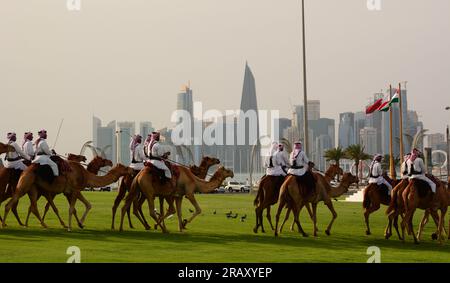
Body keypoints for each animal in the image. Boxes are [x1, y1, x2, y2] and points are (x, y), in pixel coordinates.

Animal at [3, 161, 132, 232]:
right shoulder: (75, 190)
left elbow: (87, 205)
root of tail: (25, 170)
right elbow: (71, 209)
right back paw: (5, 224)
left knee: (32, 207)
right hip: (25, 184)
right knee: (11, 202)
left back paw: (38, 225)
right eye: (125, 167)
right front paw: (70, 227)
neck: (86, 175)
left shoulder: (71, 192)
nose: (131, 170)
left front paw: (80, 224)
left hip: (33, 188)